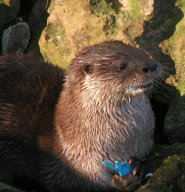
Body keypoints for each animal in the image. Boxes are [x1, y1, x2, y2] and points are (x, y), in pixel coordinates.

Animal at [0, 41, 160, 192]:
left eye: (143, 53)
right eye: (121, 65)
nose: (152, 65)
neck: (122, 142)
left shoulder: (144, 143)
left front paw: (136, 164)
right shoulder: (75, 164)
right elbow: (86, 184)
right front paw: (123, 181)